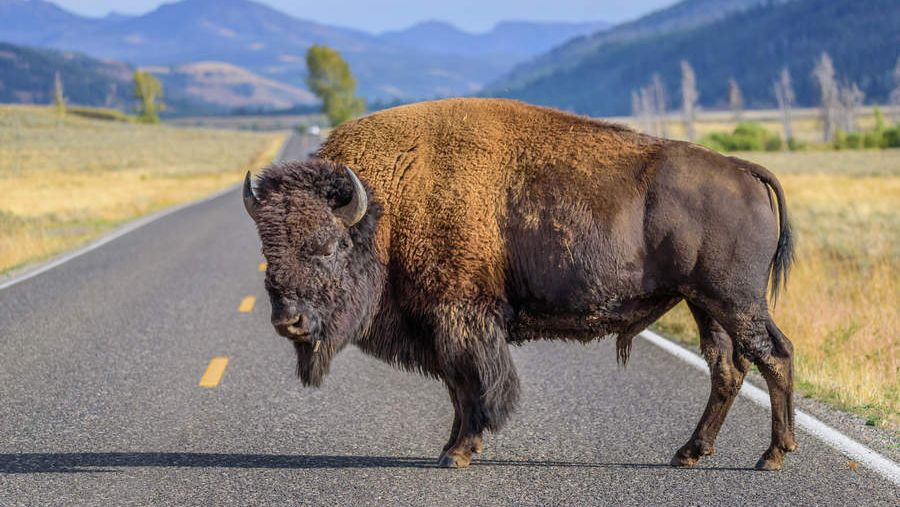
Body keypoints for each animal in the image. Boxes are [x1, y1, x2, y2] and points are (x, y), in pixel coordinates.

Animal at [243, 98, 800, 472]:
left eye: (326, 246)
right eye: (268, 249)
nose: (288, 320)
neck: (387, 203)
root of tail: (743, 169)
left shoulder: (461, 317)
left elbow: (475, 385)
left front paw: (458, 453)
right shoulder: (444, 325)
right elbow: (458, 388)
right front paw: (452, 448)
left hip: (734, 300)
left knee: (773, 355)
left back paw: (772, 456)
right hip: (704, 303)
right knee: (727, 368)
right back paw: (689, 453)